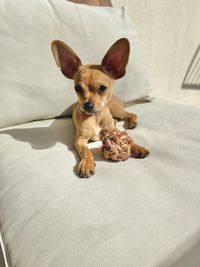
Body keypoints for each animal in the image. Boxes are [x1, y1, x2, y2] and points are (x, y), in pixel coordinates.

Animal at [51, 38, 148, 178]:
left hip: (116, 109)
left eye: (102, 88)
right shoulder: (80, 140)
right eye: (77, 88)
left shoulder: (113, 131)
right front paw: (87, 163)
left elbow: (128, 140)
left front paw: (137, 147)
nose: (87, 105)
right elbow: (86, 151)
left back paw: (131, 122)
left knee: (131, 114)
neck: (95, 117)